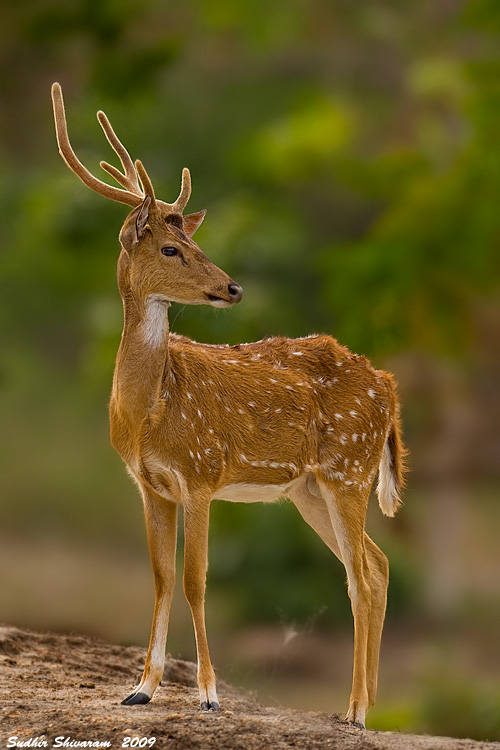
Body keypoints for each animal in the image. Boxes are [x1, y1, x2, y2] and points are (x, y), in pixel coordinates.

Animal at [50, 83, 404, 736]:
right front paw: (141, 689)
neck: (148, 413)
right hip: (309, 488)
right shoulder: (150, 484)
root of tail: (389, 389)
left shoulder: (200, 473)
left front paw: (210, 695)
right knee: (377, 563)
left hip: (349, 469)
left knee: (361, 575)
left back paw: (359, 710)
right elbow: (162, 576)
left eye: (197, 243)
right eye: (172, 248)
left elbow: (196, 580)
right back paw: (358, 705)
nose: (233, 288)